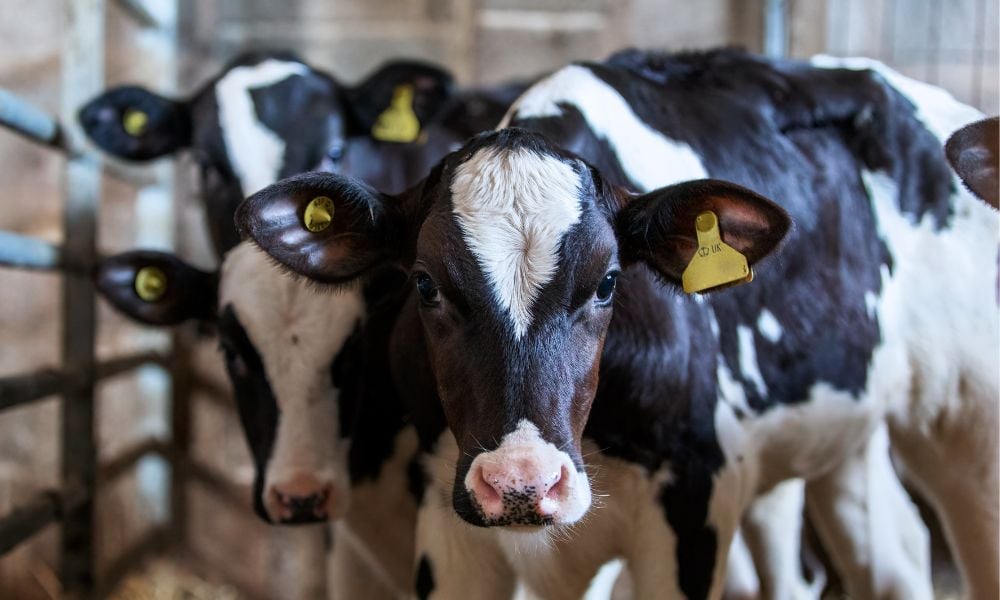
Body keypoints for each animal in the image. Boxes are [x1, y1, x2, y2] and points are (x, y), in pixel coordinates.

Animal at [238, 50, 996, 600]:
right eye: (425, 284)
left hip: (969, 424)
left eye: (607, 282)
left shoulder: (695, 501)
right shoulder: (447, 522)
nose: (522, 482)